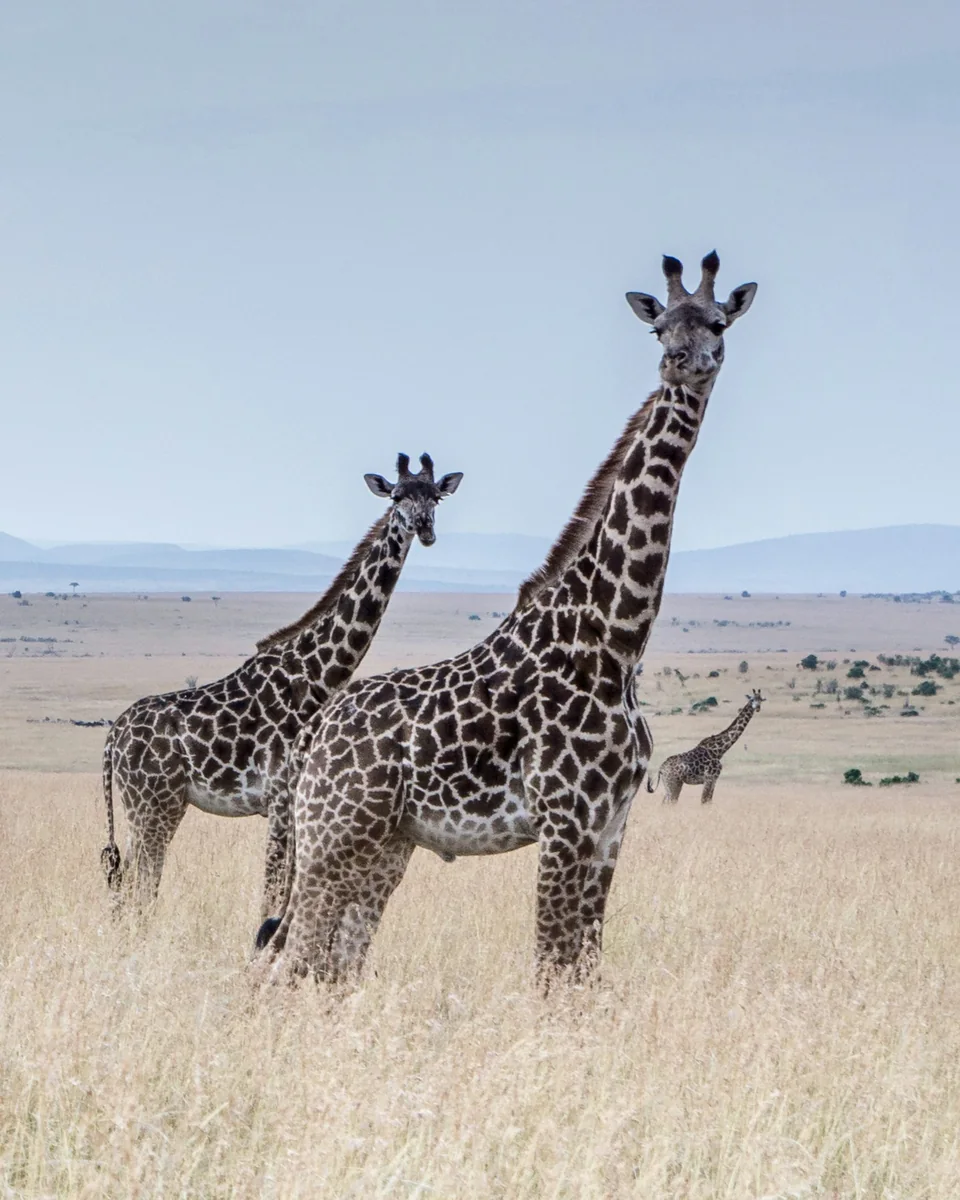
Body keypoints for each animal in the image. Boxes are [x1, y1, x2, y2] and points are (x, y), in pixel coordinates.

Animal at [100, 452, 463, 916]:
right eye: (397, 496)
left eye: (436, 497)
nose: (425, 529)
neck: (318, 675)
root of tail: (113, 738)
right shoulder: (279, 797)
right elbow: (272, 893)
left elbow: (284, 889)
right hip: (154, 803)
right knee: (139, 886)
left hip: (145, 806)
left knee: (126, 883)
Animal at [254, 251, 757, 987]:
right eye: (658, 326)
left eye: (718, 322)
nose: (680, 362)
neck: (614, 637)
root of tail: (316, 732)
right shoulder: (565, 821)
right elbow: (550, 970)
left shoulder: (612, 826)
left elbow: (585, 972)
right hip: (331, 833)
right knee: (289, 962)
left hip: (384, 843)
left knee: (333, 963)